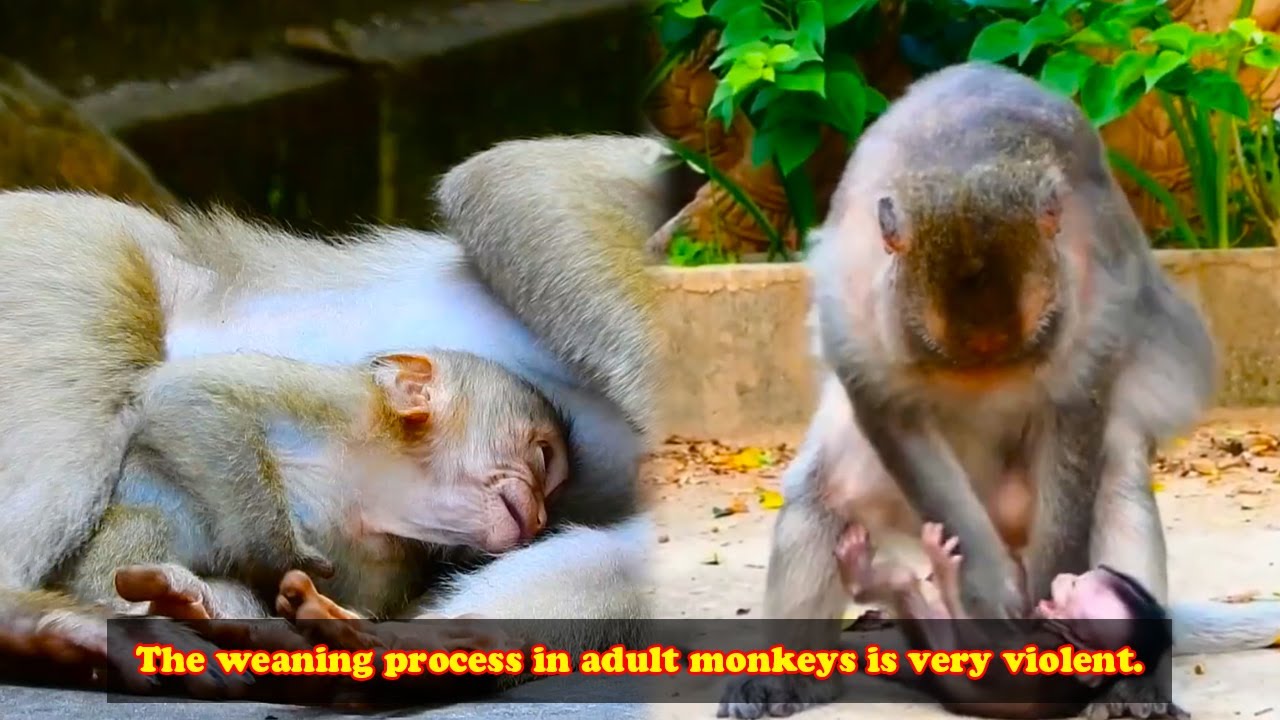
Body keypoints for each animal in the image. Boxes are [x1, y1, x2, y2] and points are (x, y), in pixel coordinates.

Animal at [0, 134, 666, 694]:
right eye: (542, 457)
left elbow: (633, 562)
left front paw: (418, 652)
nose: (539, 509)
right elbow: (519, 178)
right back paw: (40, 623)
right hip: (62, 256)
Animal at [836, 522, 1175, 719]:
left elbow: (980, 656)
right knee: (906, 588)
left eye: (1074, 587)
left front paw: (944, 567)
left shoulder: (1049, 652)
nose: (1066, 577)